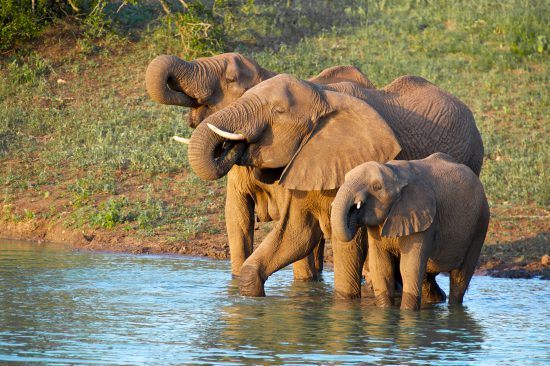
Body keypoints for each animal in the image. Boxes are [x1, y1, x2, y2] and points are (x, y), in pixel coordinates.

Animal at [330, 153, 490, 310]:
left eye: (376, 187)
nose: (353, 211)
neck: (395, 174)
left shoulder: (425, 219)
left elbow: (409, 268)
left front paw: (407, 313)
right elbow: (381, 268)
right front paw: (384, 311)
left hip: (480, 224)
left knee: (460, 278)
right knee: (428, 278)